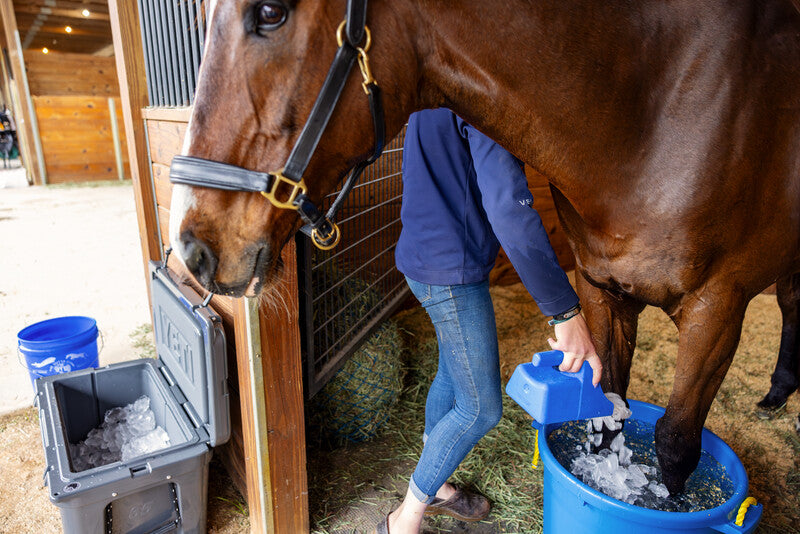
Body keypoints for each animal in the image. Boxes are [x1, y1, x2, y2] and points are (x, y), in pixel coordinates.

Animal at [168, 0, 800, 494]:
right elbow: (607, 417)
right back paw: (777, 393)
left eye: (271, 12)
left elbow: (675, 442)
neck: (656, 114)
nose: (192, 248)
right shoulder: (602, 287)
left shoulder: (719, 307)